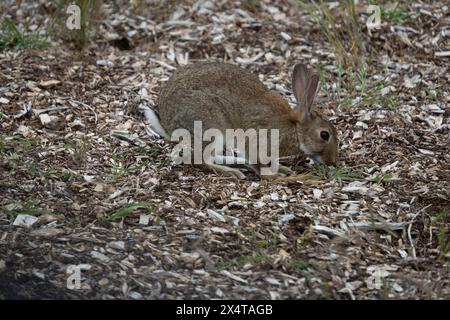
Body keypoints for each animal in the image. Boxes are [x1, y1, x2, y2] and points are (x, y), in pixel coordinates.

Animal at [151, 61, 338, 179]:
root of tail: (168, 123)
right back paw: (231, 172)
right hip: (210, 129)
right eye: (324, 135)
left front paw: (283, 169)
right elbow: (258, 163)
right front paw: (274, 174)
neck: (295, 129)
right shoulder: (259, 141)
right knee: (200, 159)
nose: (332, 162)